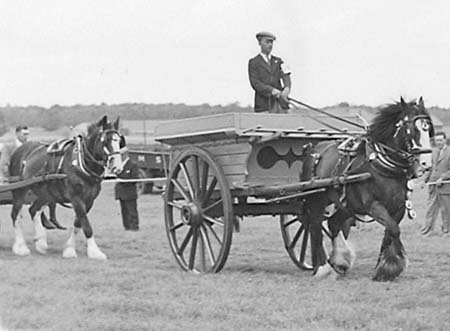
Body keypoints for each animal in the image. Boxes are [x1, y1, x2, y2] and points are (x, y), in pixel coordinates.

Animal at [9, 115, 123, 260]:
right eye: (104, 140)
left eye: (119, 140)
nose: (117, 166)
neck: (80, 162)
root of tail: (20, 149)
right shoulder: (76, 198)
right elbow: (86, 225)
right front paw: (95, 252)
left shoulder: (89, 200)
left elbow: (78, 223)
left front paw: (69, 249)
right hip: (20, 190)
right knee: (15, 215)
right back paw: (20, 247)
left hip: (46, 193)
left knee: (33, 210)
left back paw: (40, 243)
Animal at [304, 97, 434, 282]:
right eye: (410, 129)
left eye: (427, 128)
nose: (426, 163)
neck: (382, 167)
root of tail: (315, 149)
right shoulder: (373, 206)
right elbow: (394, 230)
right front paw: (390, 266)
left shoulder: (399, 208)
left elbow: (390, 233)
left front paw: (384, 269)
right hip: (317, 200)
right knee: (315, 226)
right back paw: (322, 268)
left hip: (346, 205)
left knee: (333, 223)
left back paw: (340, 261)